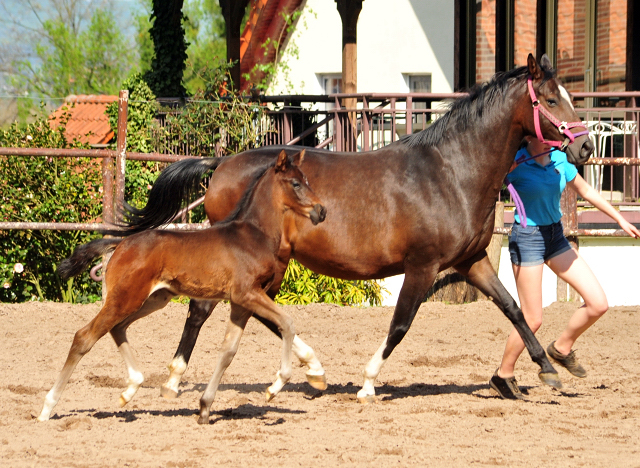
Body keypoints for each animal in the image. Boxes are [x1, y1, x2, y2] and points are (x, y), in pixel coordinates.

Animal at [37, 150, 324, 424]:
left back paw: (130, 389)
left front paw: (205, 408)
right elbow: (287, 323)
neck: (253, 234)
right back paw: (47, 408)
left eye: (308, 180)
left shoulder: (240, 302)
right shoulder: (248, 293)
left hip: (153, 299)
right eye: (296, 183)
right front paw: (274, 387)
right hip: (126, 298)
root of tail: (121, 244)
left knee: (117, 328)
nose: (321, 211)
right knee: (84, 337)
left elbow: (228, 351)